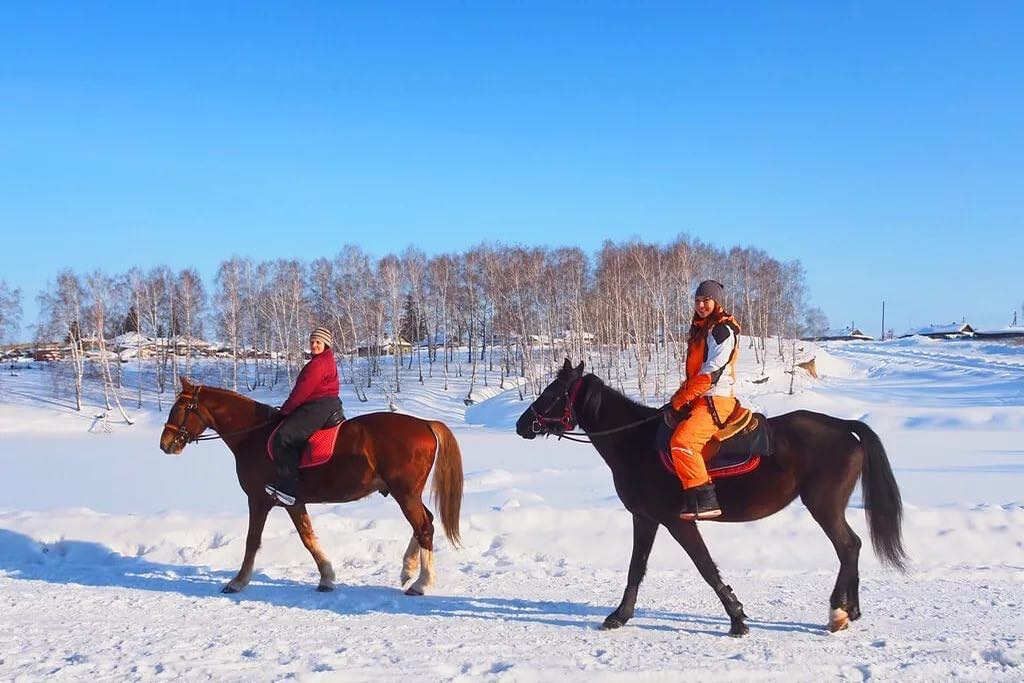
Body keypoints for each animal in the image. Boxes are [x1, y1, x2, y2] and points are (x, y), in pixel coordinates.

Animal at [159, 376, 464, 593]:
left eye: (180, 408)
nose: (165, 444)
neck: (253, 436)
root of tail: (425, 424)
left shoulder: (259, 499)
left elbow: (252, 540)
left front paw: (237, 582)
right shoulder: (293, 502)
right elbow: (307, 538)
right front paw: (327, 577)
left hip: (405, 494)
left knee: (423, 527)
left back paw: (421, 583)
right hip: (407, 494)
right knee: (426, 522)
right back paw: (407, 570)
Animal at [516, 360, 909, 638]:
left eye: (552, 393)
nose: (521, 425)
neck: (636, 443)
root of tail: (844, 426)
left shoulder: (676, 521)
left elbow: (705, 566)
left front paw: (737, 619)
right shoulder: (645, 518)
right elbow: (636, 568)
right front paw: (620, 616)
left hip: (824, 506)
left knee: (848, 546)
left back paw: (838, 612)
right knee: (852, 547)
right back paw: (850, 611)